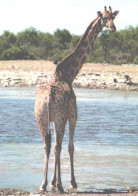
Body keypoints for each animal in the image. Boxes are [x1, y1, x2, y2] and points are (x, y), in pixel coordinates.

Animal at [34, 6, 118, 193]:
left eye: (113, 17)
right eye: (104, 18)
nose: (113, 28)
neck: (68, 74)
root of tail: (48, 99)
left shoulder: (57, 119)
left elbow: (58, 146)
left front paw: (52, 182)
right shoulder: (73, 116)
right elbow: (70, 147)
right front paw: (72, 182)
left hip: (41, 119)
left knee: (48, 145)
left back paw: (43, 184)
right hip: (58, 119)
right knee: (58, 146)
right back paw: (60, 185)